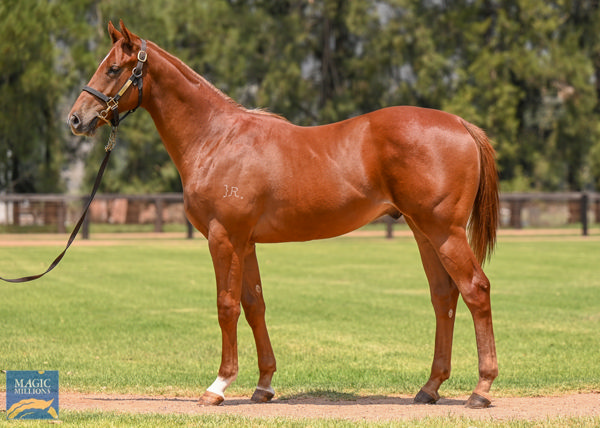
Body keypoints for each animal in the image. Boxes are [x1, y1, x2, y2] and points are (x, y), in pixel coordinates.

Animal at [68, 21, 500, 410]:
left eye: (113, 68)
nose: (75, 119)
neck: (216, 138)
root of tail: (460, 124)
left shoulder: (223, 237)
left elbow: (226, 306)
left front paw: (218, 386)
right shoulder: (246, 243)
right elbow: (254, 306)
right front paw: (263, 386)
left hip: (444, 231)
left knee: (475, 289)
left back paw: (480, 390)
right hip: (423, 231)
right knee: (443, 296)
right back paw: (430, 388)